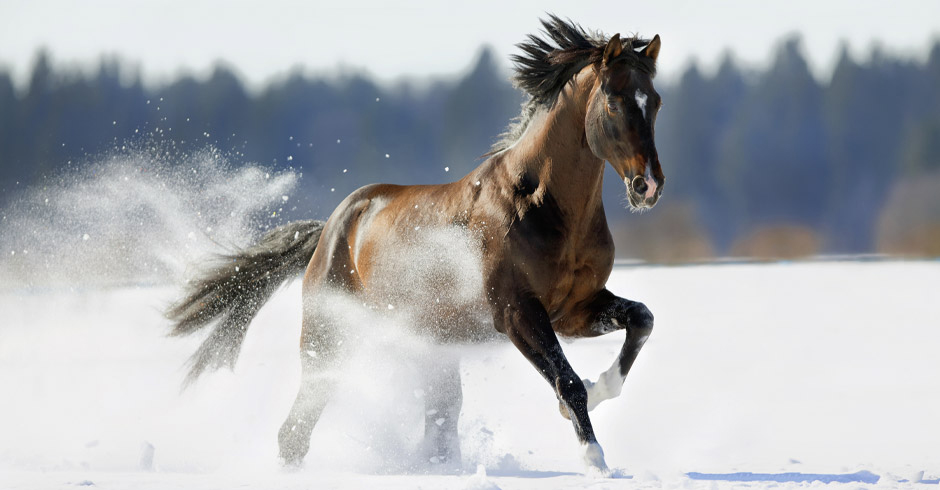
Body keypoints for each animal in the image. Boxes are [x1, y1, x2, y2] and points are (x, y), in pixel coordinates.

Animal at [167, 16, 664, 475]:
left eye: (655, 101)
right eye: (614, 101)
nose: (648, 185)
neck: (539, 205)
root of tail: (330, 229)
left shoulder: (574, 309)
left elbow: (641, 319)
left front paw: (601, 392)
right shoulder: (517, 314)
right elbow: (567, 381)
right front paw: (596, 461)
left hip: (431, 348)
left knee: (437, 424)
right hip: (330, 341)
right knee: (296, 429)